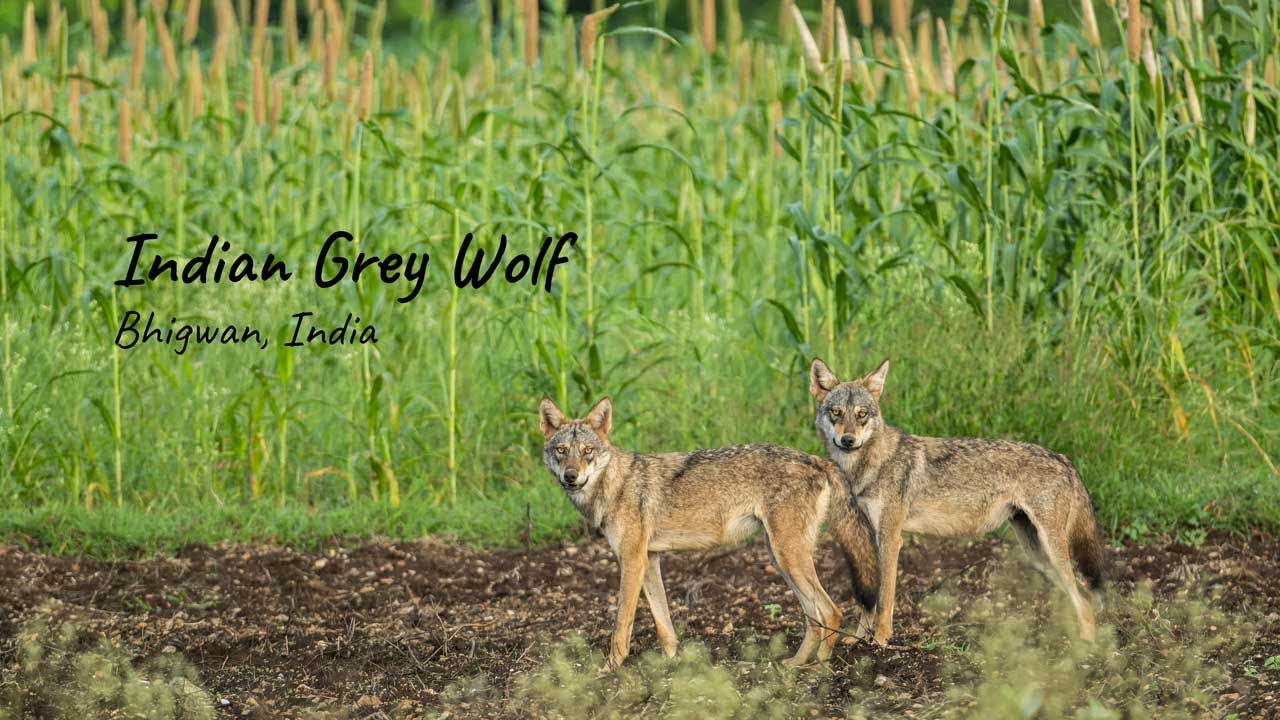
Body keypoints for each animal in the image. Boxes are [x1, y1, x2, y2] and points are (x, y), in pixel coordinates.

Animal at [538, 395, 879, 669]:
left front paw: (609, 668)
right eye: (562, 450)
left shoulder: (632, 562)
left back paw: (818, 669)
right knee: (815, 617)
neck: (615, 486)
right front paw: (670, 663)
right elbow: (664, 626)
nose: (571, 476)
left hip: (788, 558)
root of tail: (817, 459)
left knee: (831, 612)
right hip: (781, 559)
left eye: (587, 451)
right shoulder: (650, 561)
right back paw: (795, 663)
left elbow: (621, 625)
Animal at [807, 358, 1105, 645]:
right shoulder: (873, 536)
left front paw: (880, 640)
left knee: (1084, 596)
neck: (870, 463)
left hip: (1051, 551)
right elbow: (869, 600)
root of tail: (1062, 458)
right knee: (1080, 595)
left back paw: (1086, 649)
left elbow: (885, 599)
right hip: (1038, 555)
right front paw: (858, 638)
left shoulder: (891, 539)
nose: (848, 440)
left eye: (862, 414)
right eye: (836, 412)